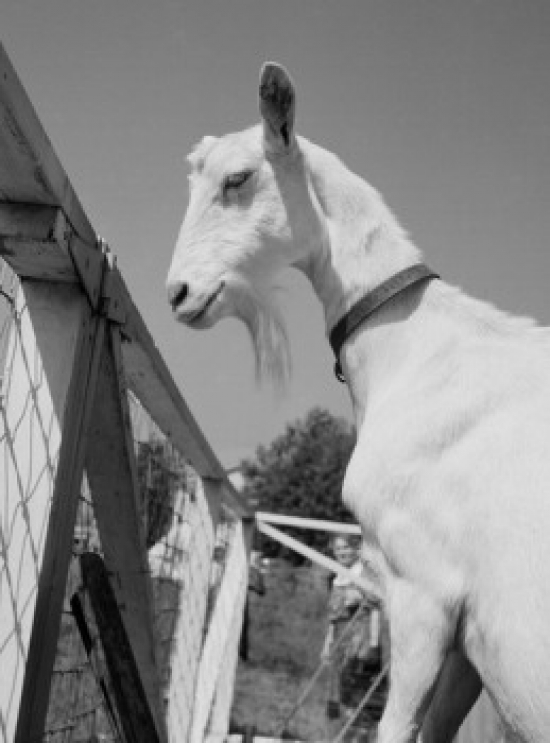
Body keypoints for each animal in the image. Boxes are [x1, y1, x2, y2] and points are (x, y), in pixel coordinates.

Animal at [167, 62, 550, 742]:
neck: (418, 349)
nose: (178, 293)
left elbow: (396, 729)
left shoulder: (424, 591)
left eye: (238, 179)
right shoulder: (468, 640)